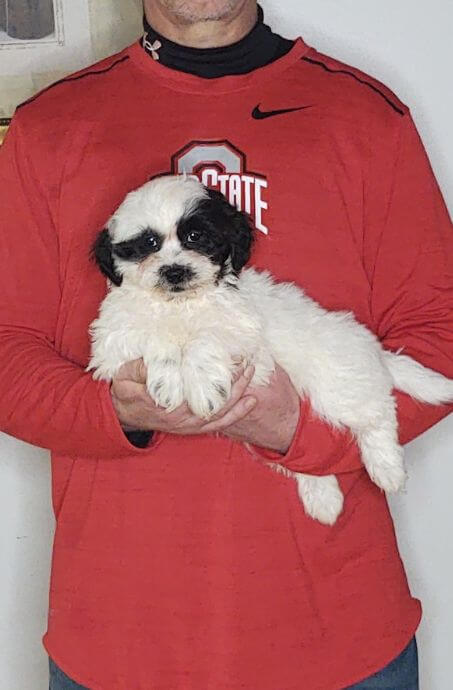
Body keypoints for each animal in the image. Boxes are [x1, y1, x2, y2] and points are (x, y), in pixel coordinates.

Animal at [87, 175, 452, 524]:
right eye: (148, 244)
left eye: (196, 236)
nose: (176, 271)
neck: (180, 304)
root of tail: (370, 348)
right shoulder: (114, 340)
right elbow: (153, 337)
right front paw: (168, 380)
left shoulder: (241, 328)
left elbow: (207, 338)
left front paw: (202, 384)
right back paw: (324, 498)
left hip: (336, 380)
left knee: (376, 413)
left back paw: (386, 468)